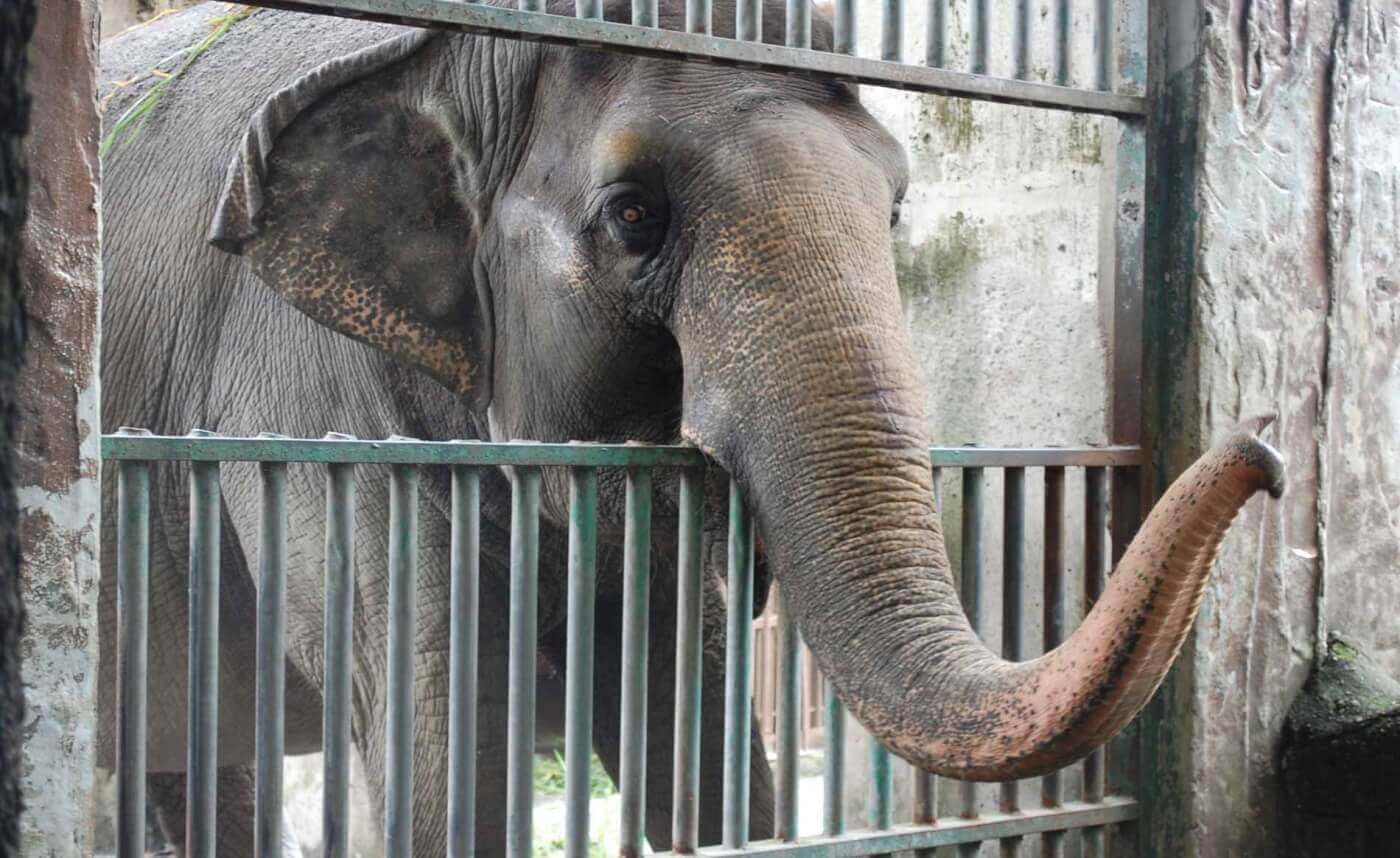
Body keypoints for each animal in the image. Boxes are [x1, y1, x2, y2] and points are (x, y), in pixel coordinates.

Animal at [93, 3, 1282, 851]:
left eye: (896, 206)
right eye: (634, 215)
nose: (1264, 446)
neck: (455, 55)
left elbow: (700, 742)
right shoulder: (313, 410)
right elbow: (446, 758)